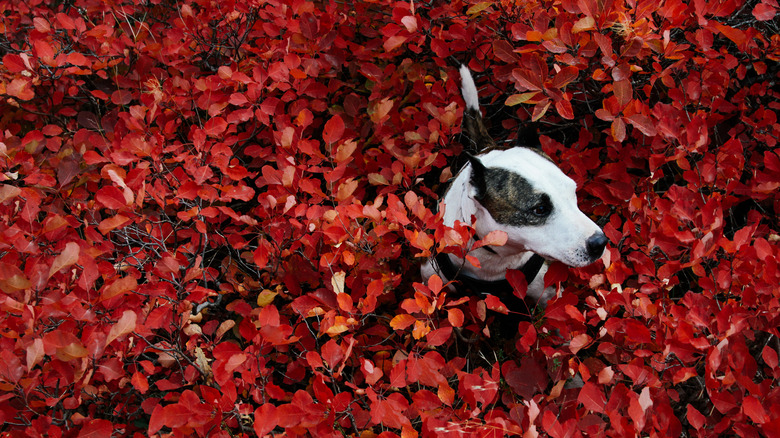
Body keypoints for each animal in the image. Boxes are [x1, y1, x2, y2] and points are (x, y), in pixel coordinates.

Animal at [420, 66, 608, 310]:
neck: (495, 256)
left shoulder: (546, 294)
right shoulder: (431, 278)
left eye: (572, 192)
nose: (599, 242)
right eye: (539, 209)